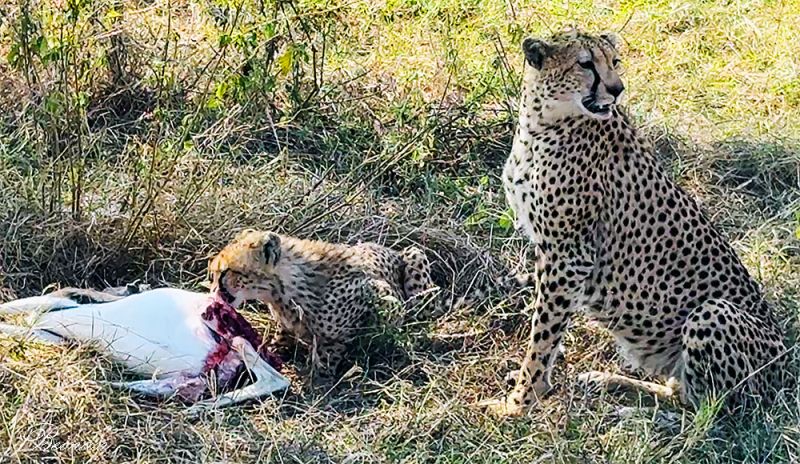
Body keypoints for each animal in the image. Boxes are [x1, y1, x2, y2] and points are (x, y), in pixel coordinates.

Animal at [207, 229, 436, 375]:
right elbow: (283, 337)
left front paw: (321, 373)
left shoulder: (382, 293)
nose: (213, 292)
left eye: (226, 271)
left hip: (415, 255)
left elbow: (335, 344)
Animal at [483, 29, 788, 417]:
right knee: (680, 392)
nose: (617, 89)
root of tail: (787, 362)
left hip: (712, 312)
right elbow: (550, 322)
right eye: (585, 64)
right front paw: (536, 379)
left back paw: (632, 411)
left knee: (706, 410)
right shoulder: (549, 250)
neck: (541, 122)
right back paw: (608, 381)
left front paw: (522, 400)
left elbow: (544, 332)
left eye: (615, 61)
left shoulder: (570, 254)